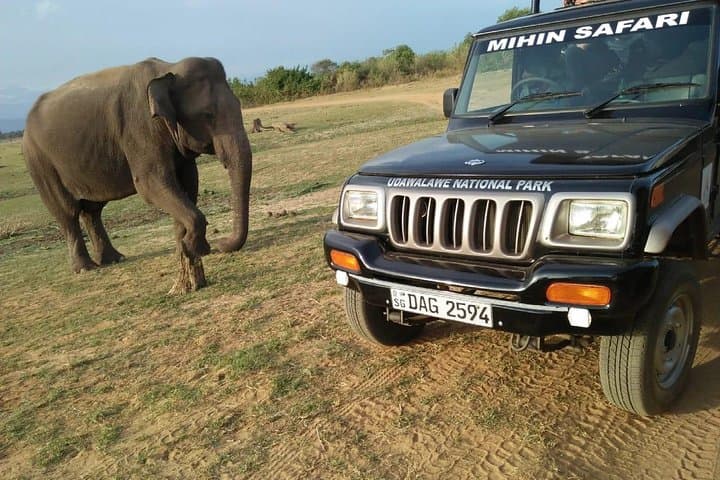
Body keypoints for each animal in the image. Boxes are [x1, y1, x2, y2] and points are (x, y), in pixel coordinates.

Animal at [22, 57, 252, 291]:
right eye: (207, 115)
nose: (221, 243)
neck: (168, 69)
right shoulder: (140, 128)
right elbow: (150, 183)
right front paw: (193, 247)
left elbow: (189, 182)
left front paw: (188, 247)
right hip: (40, 163)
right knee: (68, 212)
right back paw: (86, 268)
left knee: (92, 211)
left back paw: (114, 259)